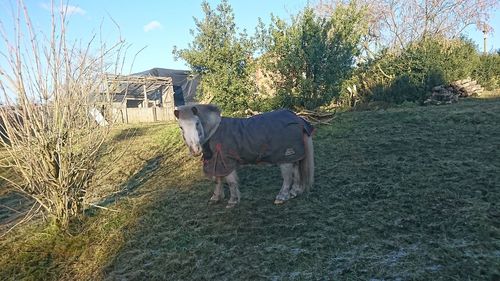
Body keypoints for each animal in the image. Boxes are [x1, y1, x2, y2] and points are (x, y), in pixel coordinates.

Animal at [174, 104, 314, 207]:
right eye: (181, 127)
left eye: (197, 124)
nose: (195, 150)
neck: (215, 131)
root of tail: (297, 118)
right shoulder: (216, 162)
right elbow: (217, 180)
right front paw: (216, 198)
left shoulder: (226, 162)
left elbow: (231, 182)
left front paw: (233, 201)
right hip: (293, 156)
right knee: (296, 173)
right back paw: (294, 192)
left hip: (285, 158)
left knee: (287, 178)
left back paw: (282, 197)